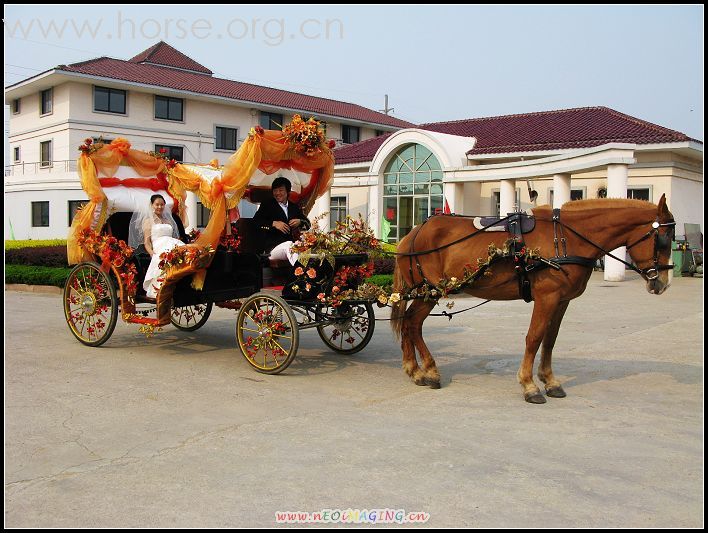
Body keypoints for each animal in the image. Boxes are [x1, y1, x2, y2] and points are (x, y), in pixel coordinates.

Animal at [392, 193, 676, 402]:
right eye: (663, 239)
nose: (662, 284)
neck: (566, 237)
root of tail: (412, 235)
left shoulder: (561, 301)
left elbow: (550, 340)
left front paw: (550, 381)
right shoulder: (547, 297)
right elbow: (534, 337)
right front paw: (529, 385)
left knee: (408, 324)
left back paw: (414, 369)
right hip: (430, 291)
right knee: (413, 324)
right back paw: (429, 370)